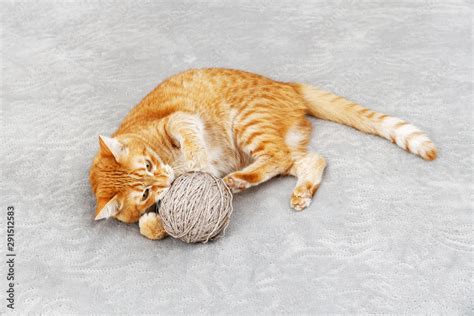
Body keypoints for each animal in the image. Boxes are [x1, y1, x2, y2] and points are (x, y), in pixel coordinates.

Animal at [89, 66, 436, 239]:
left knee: (279, 157)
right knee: (310, 159)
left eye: (149, 165)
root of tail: (288, 85)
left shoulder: (179, 119)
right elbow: (150, 229)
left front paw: (196, 166)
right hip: (271, 144)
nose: (165, 178)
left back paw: (236, 181)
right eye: (145, 193)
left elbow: (192, 143)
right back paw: (299, 192)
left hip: (248, 122)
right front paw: (153, 223)